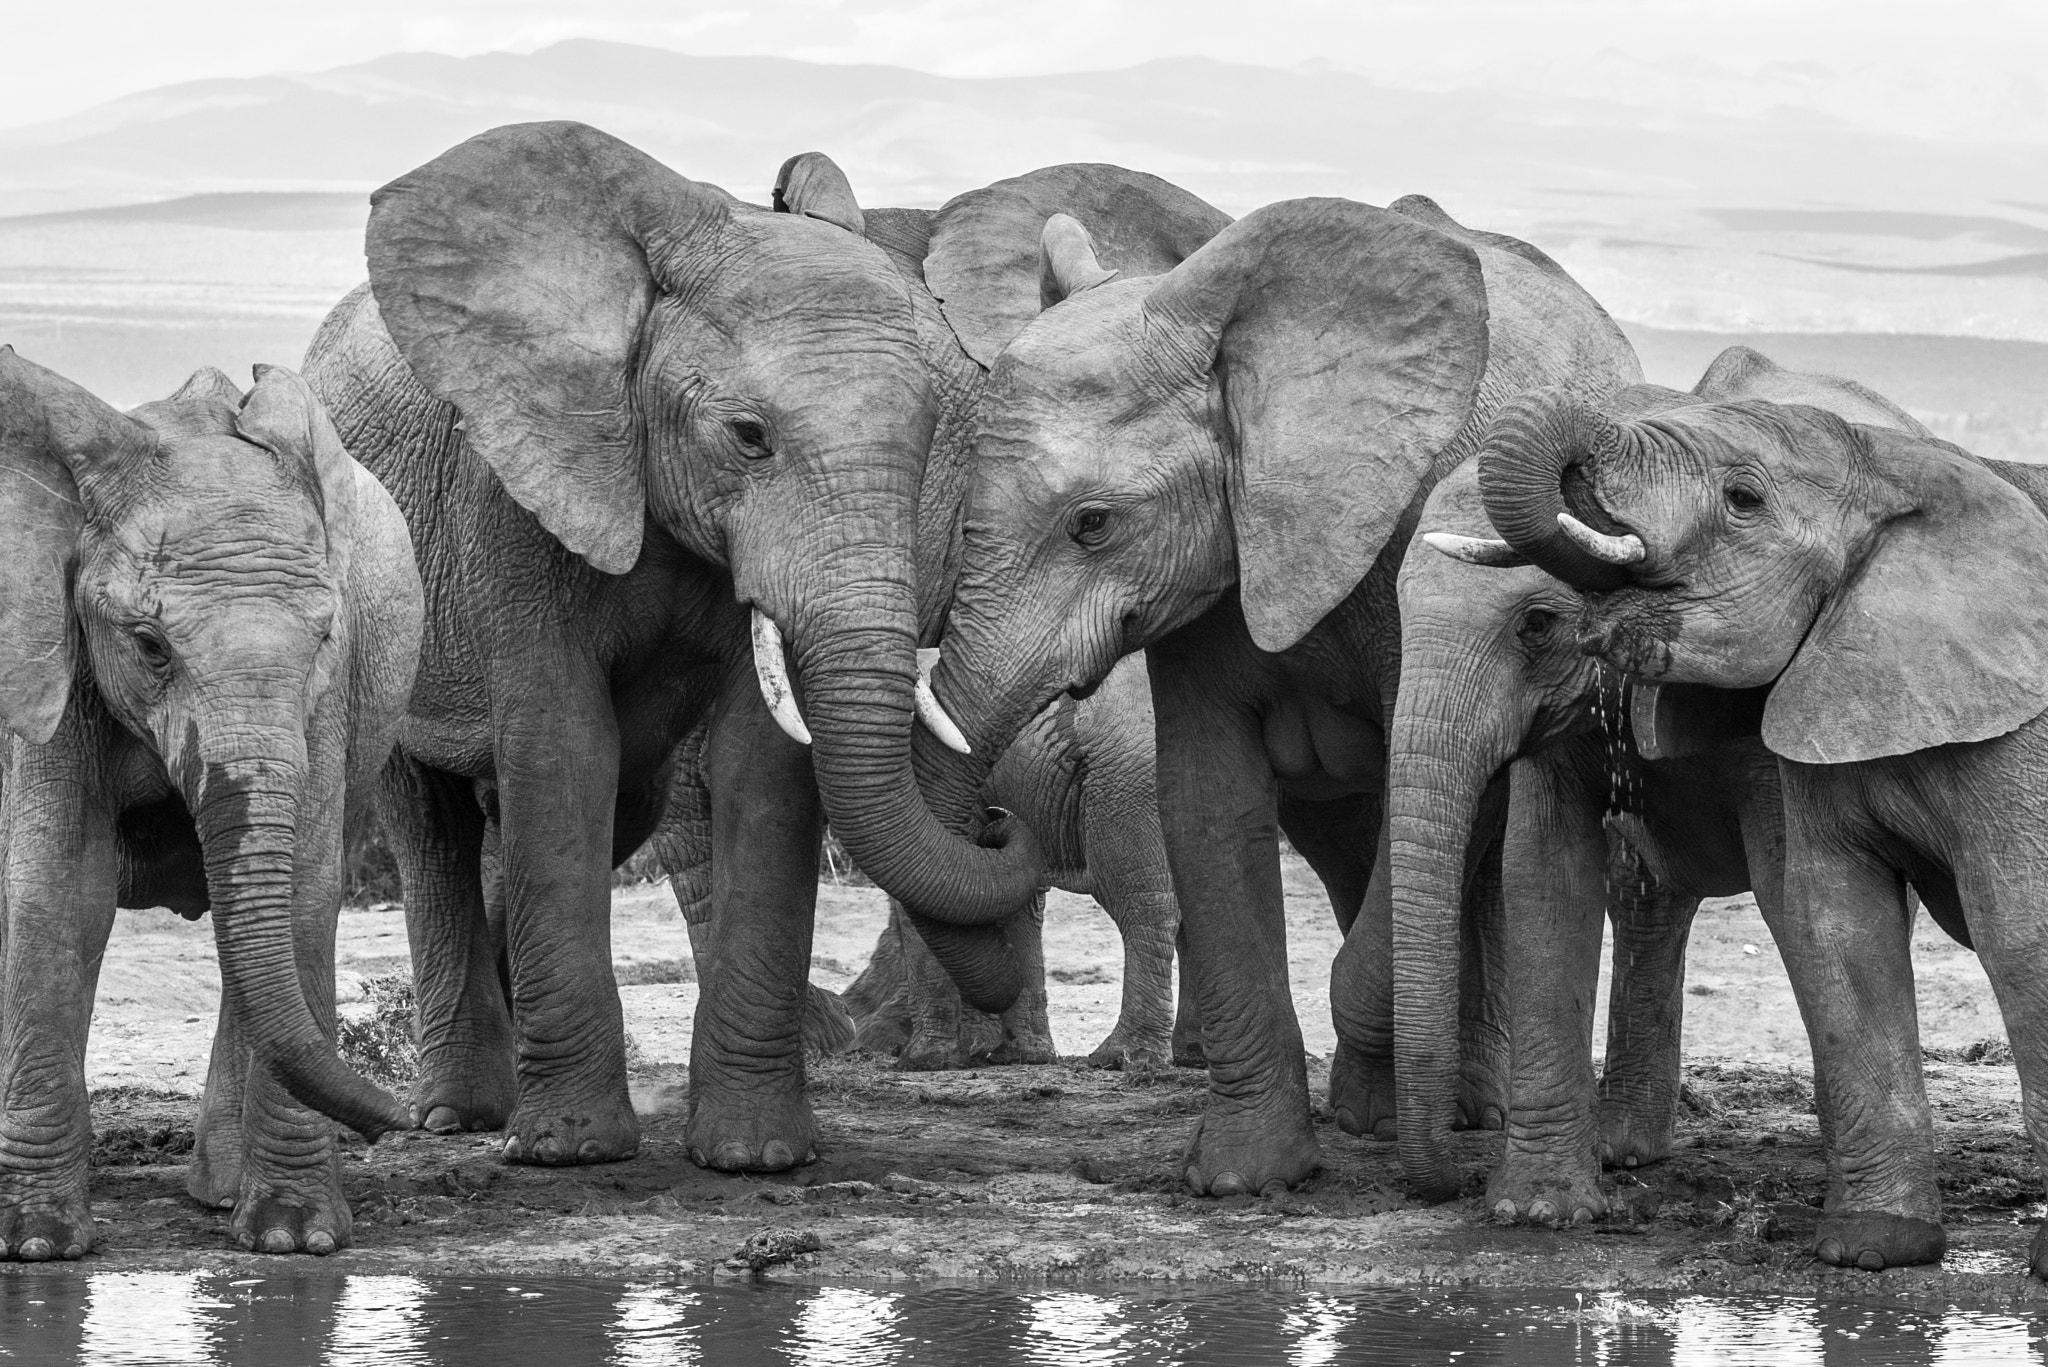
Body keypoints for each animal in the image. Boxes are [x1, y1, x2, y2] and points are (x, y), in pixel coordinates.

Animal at [0, 352, 421, 1262]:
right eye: (149, 645)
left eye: (324, 637)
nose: (404, 1119)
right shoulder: (50, 657)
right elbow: (60, 892)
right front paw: (35, 1244)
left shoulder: (329, 695)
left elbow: (303, 892)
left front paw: (296, 1240)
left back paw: (220, 1192)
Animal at [299, 122, 1048, 1180]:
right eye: (748, 435)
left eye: (933, 437)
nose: (994, 820)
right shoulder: (518, 492)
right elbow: (562, 747)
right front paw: (569, 1152)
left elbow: (760, 764)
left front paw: (756, 1155)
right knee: (430, 824)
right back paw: (461, 1114)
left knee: (603, 813)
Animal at [823, 184, 1638, 1196]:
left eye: (1094, 524)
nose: (1000, 823)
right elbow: (1209, 803)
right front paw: (1244, 1178)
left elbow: (1435, 790)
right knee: (1349, 847)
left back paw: (1446, 1113)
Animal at [1392, 344, 1933, 1221]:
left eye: (1535, 625)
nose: (1441, 1188)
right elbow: (1545, 874)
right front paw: (1540, 1211)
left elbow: (1787, 878)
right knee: (1645, 899)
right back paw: (1626, 1152)